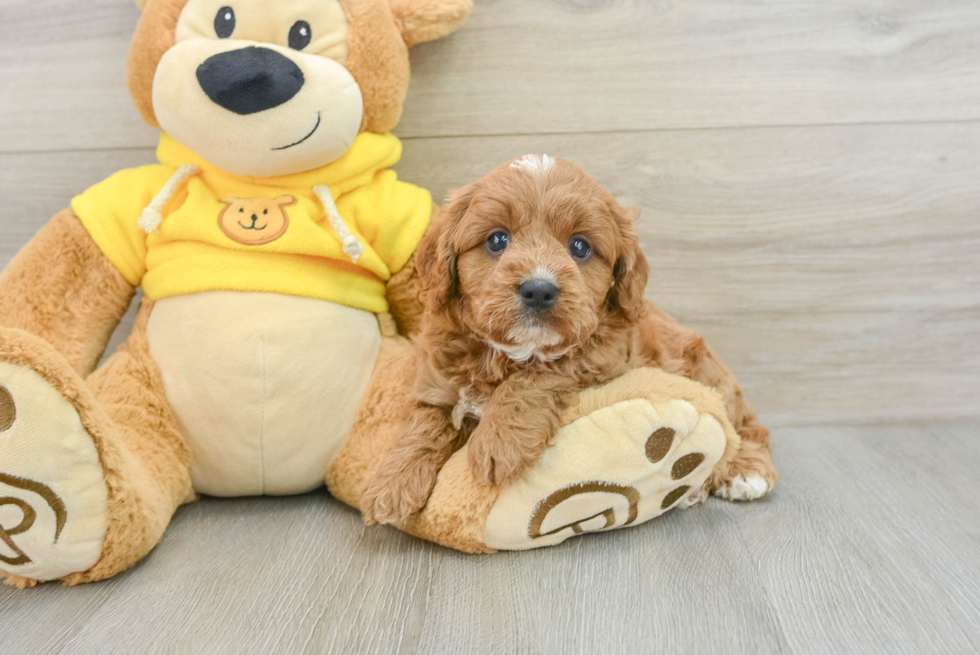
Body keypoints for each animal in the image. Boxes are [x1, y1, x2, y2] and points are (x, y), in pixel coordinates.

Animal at [362, 156, 780, 524]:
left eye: (579, 246)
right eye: (497, 240)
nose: (539, 289)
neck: (509, 351)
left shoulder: (603, 353)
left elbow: (538, 376)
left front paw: (499, 442)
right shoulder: (437, 376)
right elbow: (423, 422)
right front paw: (391, 485)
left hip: (709, 373)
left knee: (745, 426)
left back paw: (743, 473)